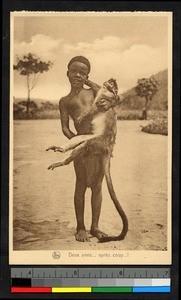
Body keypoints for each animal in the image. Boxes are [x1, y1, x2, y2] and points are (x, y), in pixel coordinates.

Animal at [46, 78, 129, 243]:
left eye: (113, 84)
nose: (112, 80)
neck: (105, 92)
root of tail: (107, 146)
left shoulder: (104, 99)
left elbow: (98, 107)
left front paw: (84, 114)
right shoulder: (102, 95)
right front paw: (88, 81)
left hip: (96, 142)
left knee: (83, 145)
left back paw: (63, 161)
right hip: (91, 138)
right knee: (80, 138)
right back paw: (61, 149)